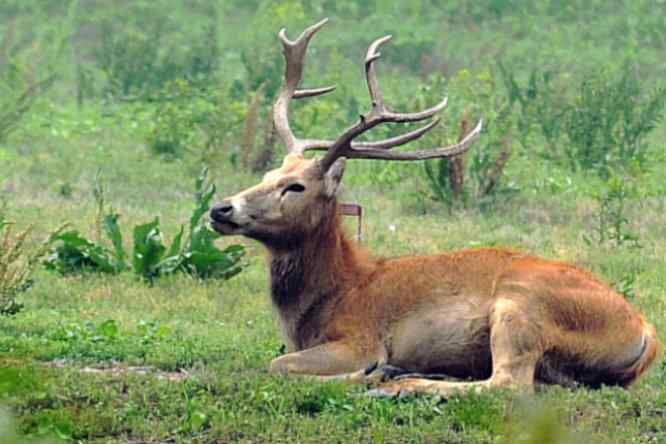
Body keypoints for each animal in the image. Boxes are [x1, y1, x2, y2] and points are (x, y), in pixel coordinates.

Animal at [210, 19, 656, 398]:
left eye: (296, 186)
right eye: (268, 172)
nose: (221, 208)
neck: (329, 297)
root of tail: (646, 333)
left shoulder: (359, 337)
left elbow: (278, 365)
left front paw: (375, 372)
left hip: (523, 304)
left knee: (509, 383)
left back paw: (400, 383)